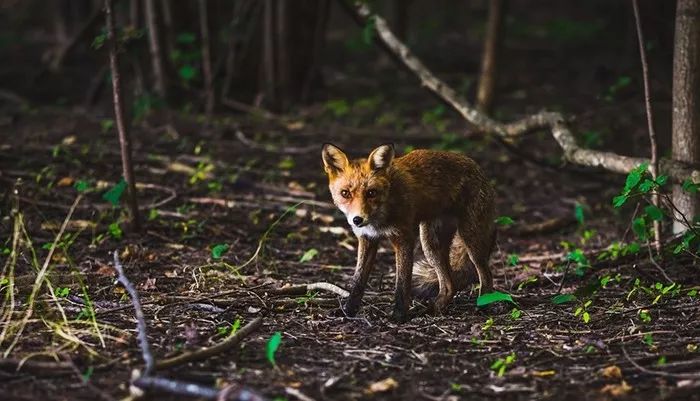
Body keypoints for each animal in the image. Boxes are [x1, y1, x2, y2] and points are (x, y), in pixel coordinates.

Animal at [324, 144, 498, 322]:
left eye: (371, 193)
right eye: (345, 193)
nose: (357, 220)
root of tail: (478, 168)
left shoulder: (404, 238)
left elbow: (402, 283)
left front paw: (398, 316)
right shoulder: (367, 239)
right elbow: (357, 281)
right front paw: (347, 311)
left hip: (470, 240)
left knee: (487, 275)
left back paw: (483, 307)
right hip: (431, 245)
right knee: (450, 286)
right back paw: (433, 310)